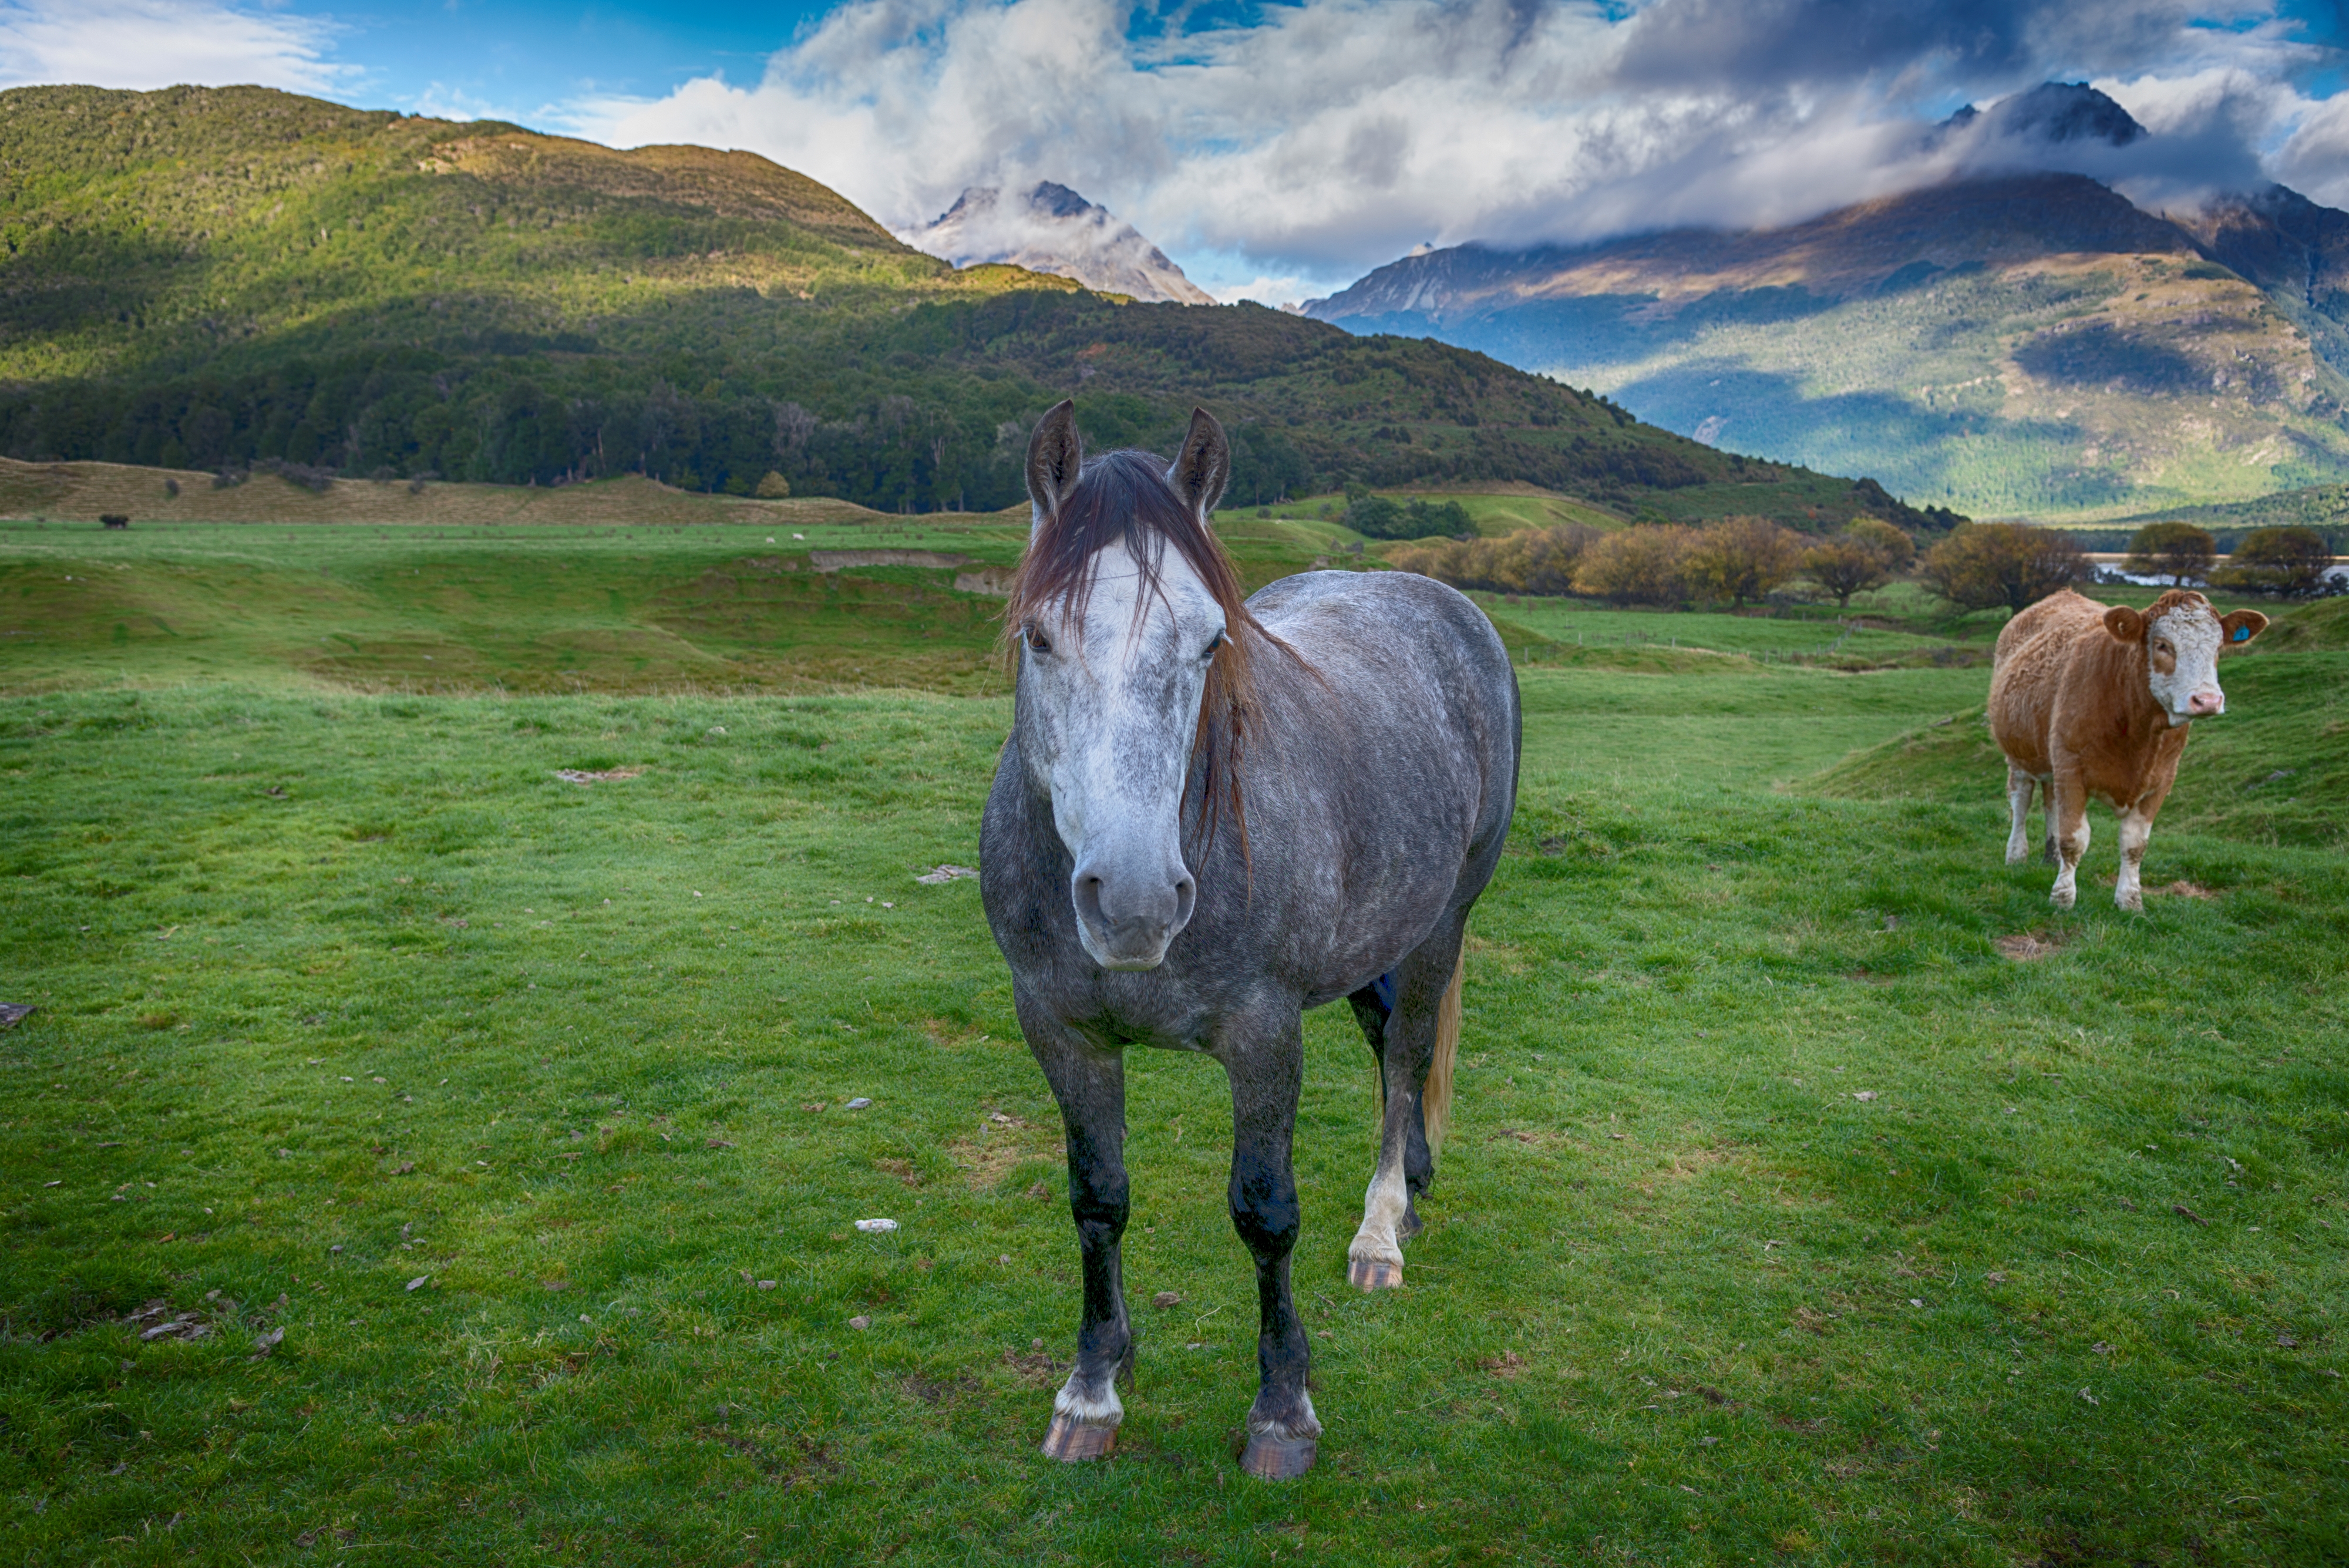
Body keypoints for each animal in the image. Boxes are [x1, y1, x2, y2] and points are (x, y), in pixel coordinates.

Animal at [972, 399, 1522, 1474]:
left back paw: (1382, 1232)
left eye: (1208, 640)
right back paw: (1416, 1183)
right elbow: (1098, 1199)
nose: (1135, 901)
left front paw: (1281, 1408)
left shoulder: (1266, 1035)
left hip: (1441, 923)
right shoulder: (1061, 1030)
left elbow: (1265, 1212)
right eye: (1039, 637)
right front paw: (1093, 1385)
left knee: (1407, 1053)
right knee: (1386, 1039)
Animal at [1992, 587, 2264, 906]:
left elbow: (2135, 843)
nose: (2207, 700)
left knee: (2051, 801)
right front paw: (2063, 898)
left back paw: (2051, 856)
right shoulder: (2071, 768)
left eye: (2218, 648)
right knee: (2021, 799)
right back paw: (2016, 855)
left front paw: (2130, 900)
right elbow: (2074, 839)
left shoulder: (2161, 780)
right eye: (2162, 645)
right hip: (2018, 753)